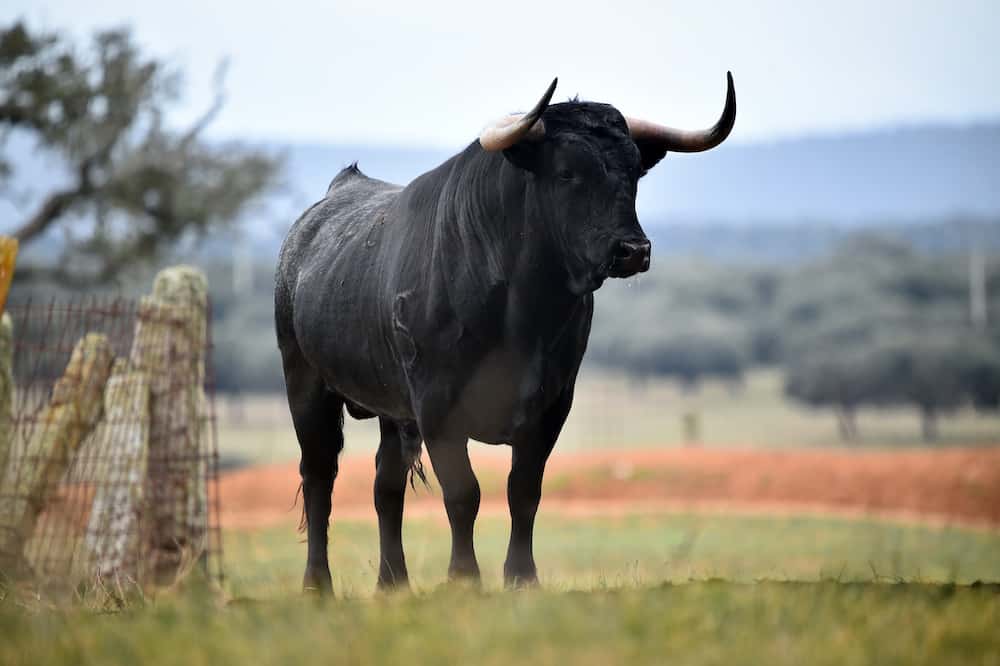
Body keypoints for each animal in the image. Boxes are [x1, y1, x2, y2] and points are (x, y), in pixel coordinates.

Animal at [275, 74, 736, 593]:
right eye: (566, 173)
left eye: (634, 171)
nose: (633, 250)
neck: (520, 313)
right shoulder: (438, 406)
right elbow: (464, 493)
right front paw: (464, 578)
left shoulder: (551, 405)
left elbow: (524, 491)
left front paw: (521, 578)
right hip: (307, 386)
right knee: (319, 476)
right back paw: (318, 585)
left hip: (392, 411)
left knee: (385, 485)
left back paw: (393, 583)